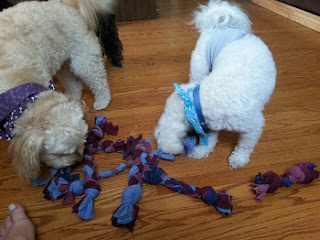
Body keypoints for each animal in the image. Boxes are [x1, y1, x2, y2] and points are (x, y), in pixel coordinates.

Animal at [0, 0, 120, 180]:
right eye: (62, 154)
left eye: (84, 142)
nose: (79, 160)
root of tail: (68, 3)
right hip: (60, 62)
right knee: (74, 84)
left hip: (82, 58)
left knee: (99, 80)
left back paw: (102, 100)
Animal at [155, 0, 276, 169]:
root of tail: (222, 25)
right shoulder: (209, 122)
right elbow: (211, 139)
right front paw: (202, 151)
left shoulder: (253, 126)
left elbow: (245, 145)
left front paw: (239, 158)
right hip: (200, 66)